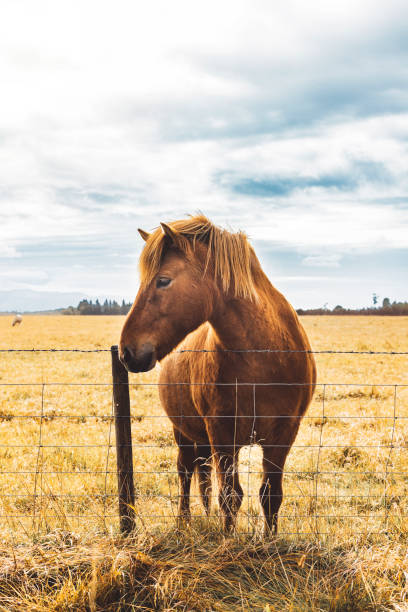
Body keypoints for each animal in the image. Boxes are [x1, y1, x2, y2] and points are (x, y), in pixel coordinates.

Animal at [118, 215, 316, 532]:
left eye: (163, 280)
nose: (127, 351)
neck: (262, 358)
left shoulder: (284, 434)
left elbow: (270, 494)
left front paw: (270, 539)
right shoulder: (222, 435)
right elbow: (230, 495)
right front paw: (228, 538)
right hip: (184, 432)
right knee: (186, 471)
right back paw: (185, 521)